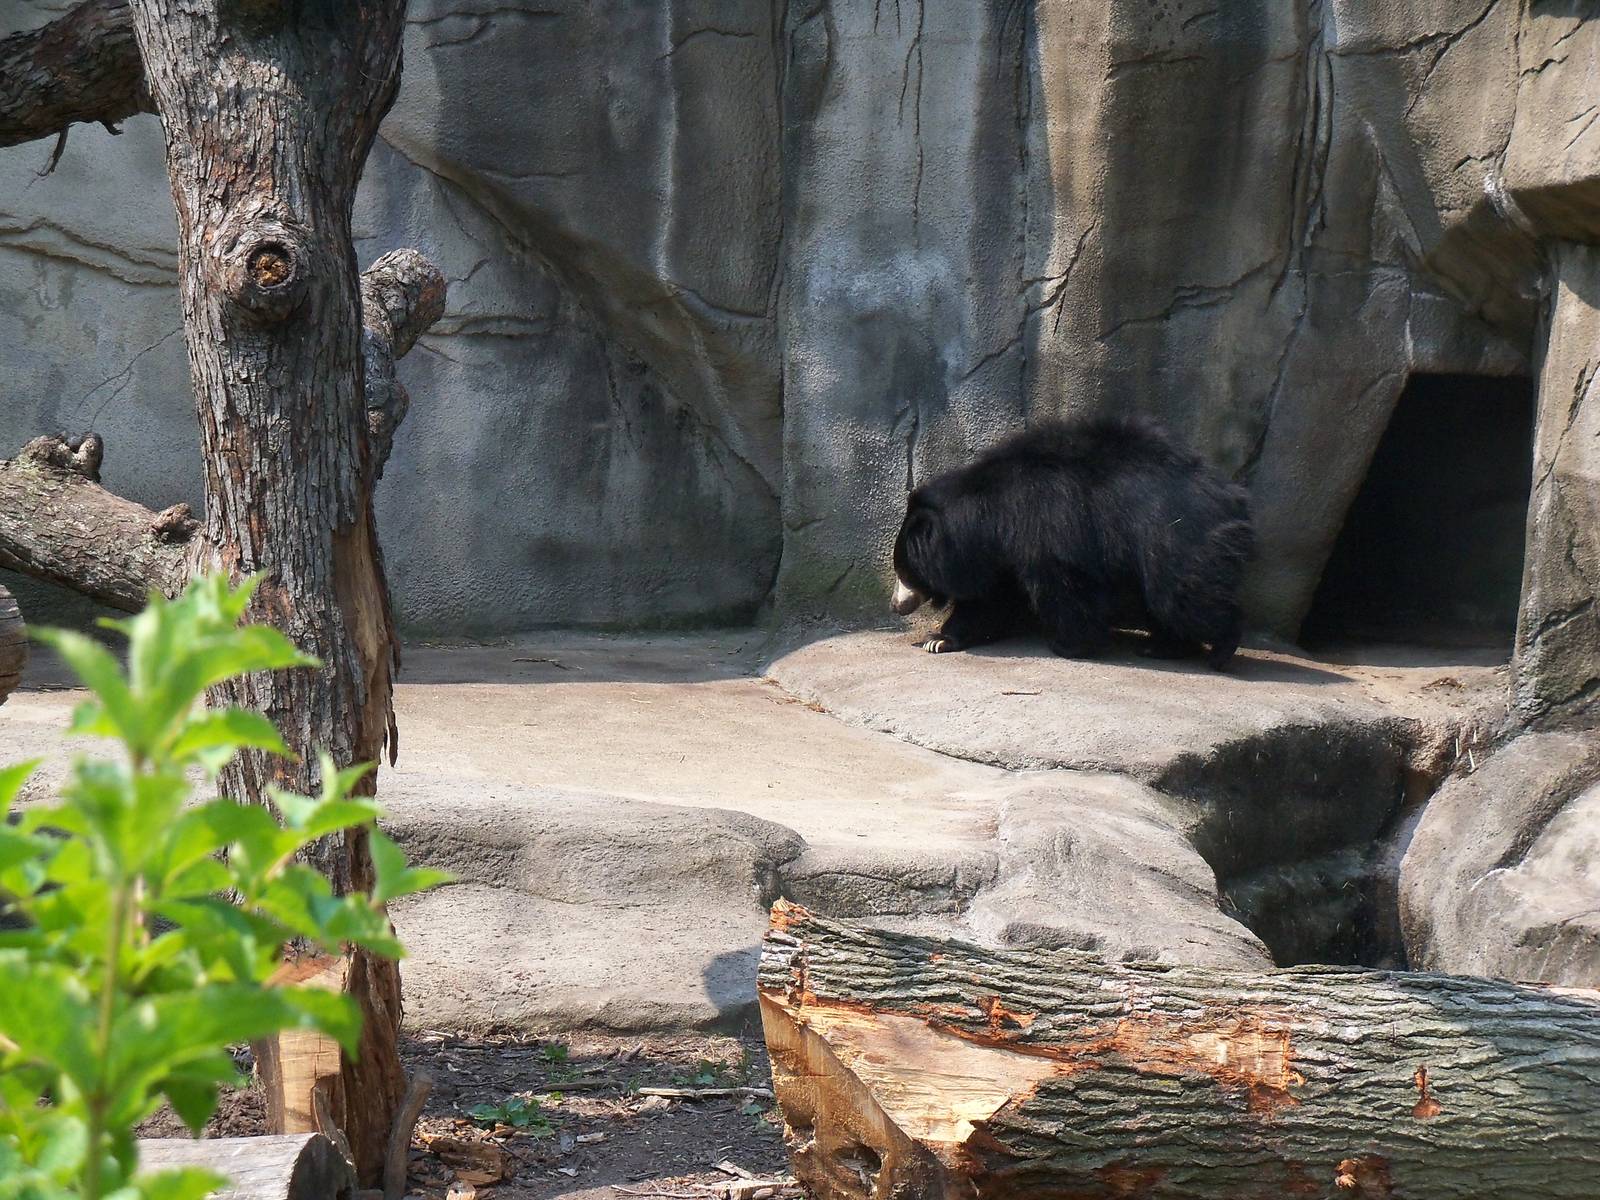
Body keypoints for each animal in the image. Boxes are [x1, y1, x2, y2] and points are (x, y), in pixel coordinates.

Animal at [890, 415, 1253, 670]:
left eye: (905, 574)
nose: (896, 605)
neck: (988, 512)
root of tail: (1231, 495)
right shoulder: (1002, 552)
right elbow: (991, 599)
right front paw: (939, 639)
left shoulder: (1047, 528)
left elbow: (1063, 587)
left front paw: (1068, 645)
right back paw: (1162, 646)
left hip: (1175, 539)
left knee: (1183, 595)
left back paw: (1220, 651)